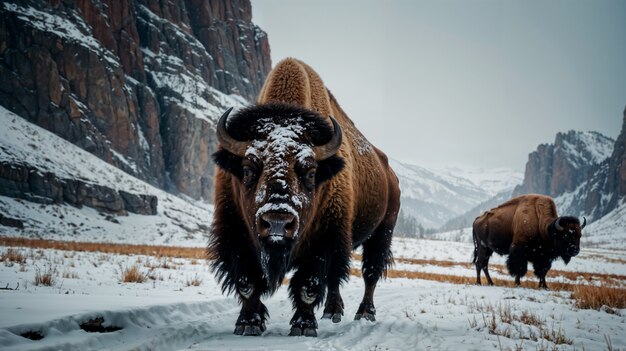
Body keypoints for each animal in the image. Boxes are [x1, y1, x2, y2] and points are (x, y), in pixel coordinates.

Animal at [207, 59, 398, 336]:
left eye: (310, 172)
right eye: (248, 168)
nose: (277, 222)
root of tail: (388, 171)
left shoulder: (324, 240)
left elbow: (310, 284)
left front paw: (303, 326)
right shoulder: (236, 236)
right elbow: (247, 283)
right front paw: (249, 323)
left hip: (382, 232)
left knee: (370, 273)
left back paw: (364, 313)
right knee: (338, 279)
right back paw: (332, 312)